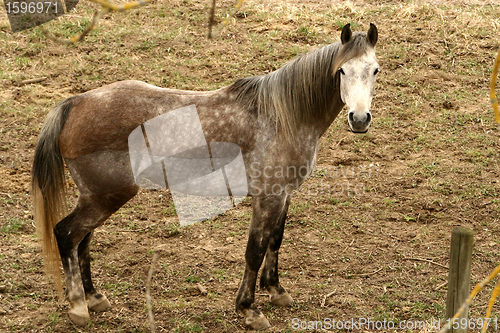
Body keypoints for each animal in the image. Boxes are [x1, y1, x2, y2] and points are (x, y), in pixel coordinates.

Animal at [32, 23, 378, 330]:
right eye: (342, 71)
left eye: (375, 70)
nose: (359, 119)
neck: (282, 117)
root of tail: (75, 103)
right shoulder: (267, 198)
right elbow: (255, 250)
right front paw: (248, 309)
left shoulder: (283, 195)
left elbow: (275, 240)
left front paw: (276, 291)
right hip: (105, 196)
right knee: (67, 234)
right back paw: (78, 307)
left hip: (97, 197)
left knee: (82, 240)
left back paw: (94, 297)